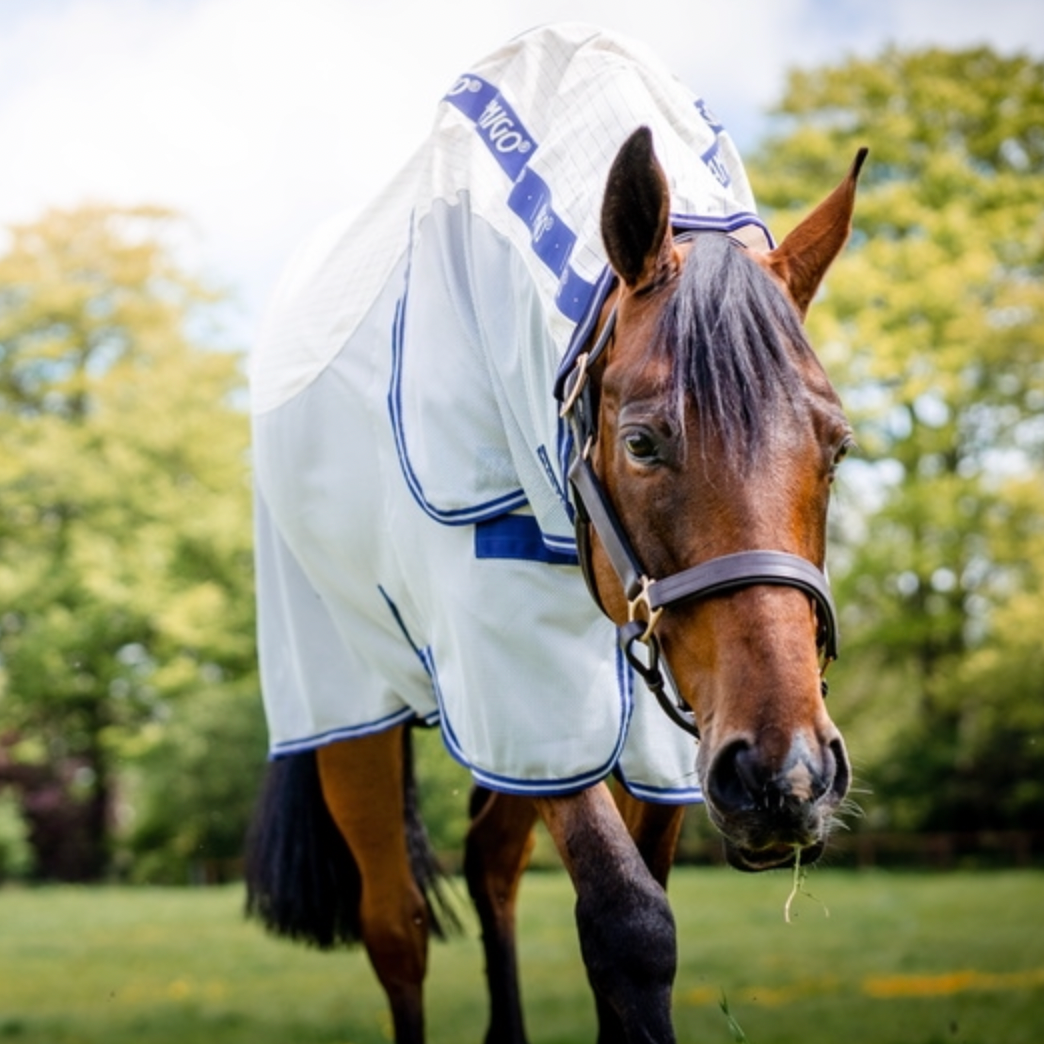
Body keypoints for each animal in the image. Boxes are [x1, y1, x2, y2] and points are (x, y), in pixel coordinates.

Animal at [245, 24, 865, 1044]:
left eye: (838, 444)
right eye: (643, 440)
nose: (790, 774)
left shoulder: (663, 732)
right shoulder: (518, 678)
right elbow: (631, 927)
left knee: (489, 863)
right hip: (349, 707)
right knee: (395, 927)